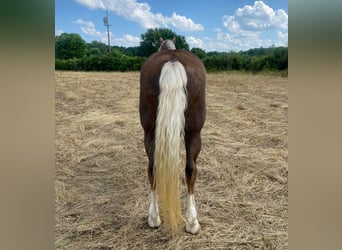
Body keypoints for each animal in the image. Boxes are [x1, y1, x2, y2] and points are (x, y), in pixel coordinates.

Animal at [138, 36, 206, 234]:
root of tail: (173, 60)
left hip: (152, 131)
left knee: (156, 168)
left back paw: (158, 219)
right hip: (194, 131)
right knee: (189, 169)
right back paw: (189, 222)